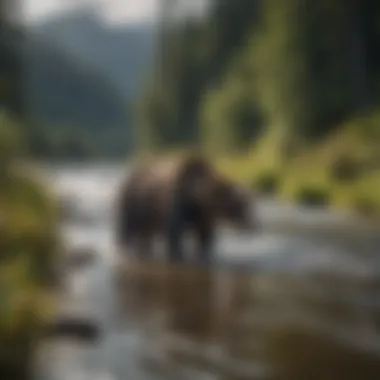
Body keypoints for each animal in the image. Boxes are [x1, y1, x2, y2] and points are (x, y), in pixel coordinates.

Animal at [114, 153, 260, 262]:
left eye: (250, 205)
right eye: (241, 205)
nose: (255, 226)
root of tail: (125, 178)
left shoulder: (204, 216)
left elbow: (206, 235)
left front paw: (205, 253)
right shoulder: (175, 203)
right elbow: (174, 234)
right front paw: (177, 255)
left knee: (145, 234)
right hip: (132, 203)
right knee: (127, 229)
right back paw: (127, 248)